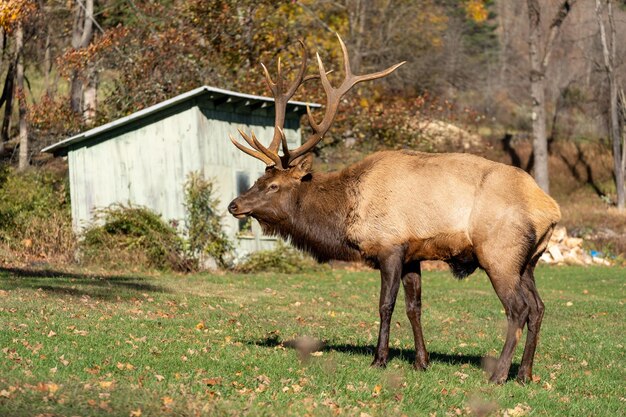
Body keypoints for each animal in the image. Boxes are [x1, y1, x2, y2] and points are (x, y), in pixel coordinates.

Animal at [228, 35, 560, 384]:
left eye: (274, 185)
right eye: (259, 178)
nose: (234, 205)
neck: (345, 214)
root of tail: (551, 210)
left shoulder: (389, 246)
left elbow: (385, 305)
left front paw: (379, 359)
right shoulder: (414, 254)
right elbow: (415, 307)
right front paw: (421, 361)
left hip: (499, 254)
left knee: (518, 309)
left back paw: (499, 375)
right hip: (529, 261)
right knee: (538, 307)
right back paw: (524, 374)